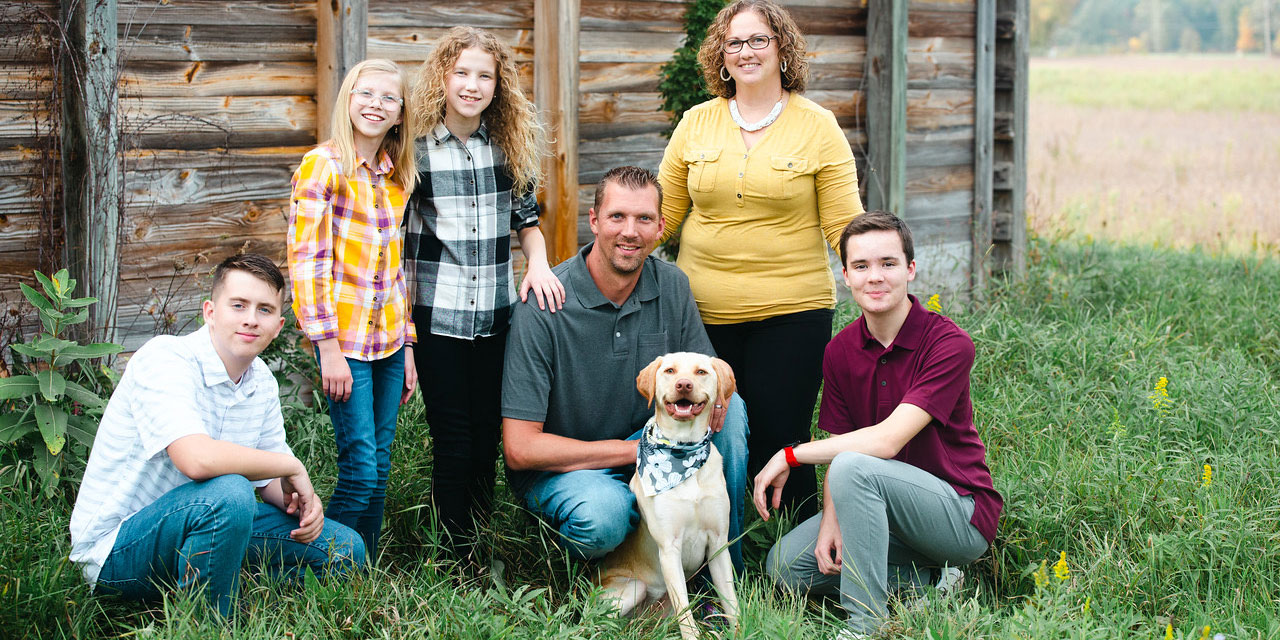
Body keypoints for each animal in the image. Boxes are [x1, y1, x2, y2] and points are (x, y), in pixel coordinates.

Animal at [599, 353, 742, 637]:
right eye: (670, 371)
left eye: (701, 372)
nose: (684, 385)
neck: (682, 454)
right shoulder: (669, 548)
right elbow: (685, 612)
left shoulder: (718, 543)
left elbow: (731, 602)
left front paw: (741, 632)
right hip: (633, 589)